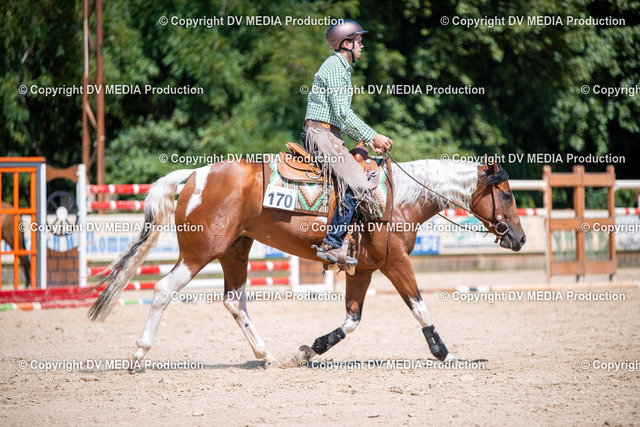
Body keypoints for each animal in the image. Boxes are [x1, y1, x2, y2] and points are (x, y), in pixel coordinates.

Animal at [88, 158, 526, 367]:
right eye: (506, 194)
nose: (520, 238)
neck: (399, 198)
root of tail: (196, 174)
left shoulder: (364, 269)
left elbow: (352, 320)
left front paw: (310, 350)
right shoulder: (394, 263)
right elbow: (419, 308)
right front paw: (445, 353)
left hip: (235, 251)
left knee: (234, 301)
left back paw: (266, 355)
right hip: (199, 254)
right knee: (163, 290)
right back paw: (138, 356)